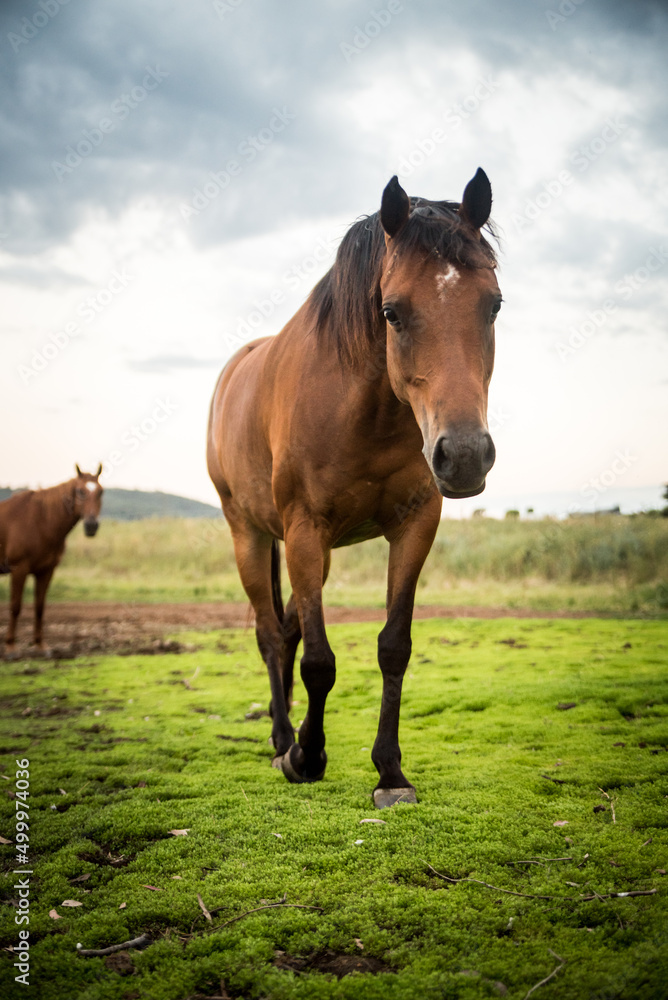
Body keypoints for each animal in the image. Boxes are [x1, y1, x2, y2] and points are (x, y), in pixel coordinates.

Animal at [0, 465, 103, 653]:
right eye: (80, 491)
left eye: (100, 492)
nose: (91, 525)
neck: (41, 521)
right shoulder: (19, 569)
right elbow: (15, 606)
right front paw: (11, 646)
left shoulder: (46, 570)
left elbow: (40, 607)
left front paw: (40, 645)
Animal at [207, 169, 501, 807]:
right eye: (391, 312)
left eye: (493, 304)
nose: (465, 455)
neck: (361, 410)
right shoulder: (303, 529)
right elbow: (319, 661)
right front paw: (307, 756)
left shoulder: (414, 527)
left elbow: (393, 647)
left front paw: (390, 773)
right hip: (250, 535)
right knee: (270, 635)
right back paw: (280, 740)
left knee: (288, 628)